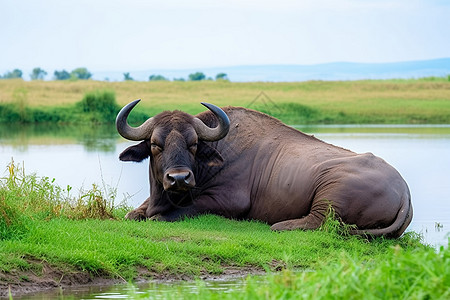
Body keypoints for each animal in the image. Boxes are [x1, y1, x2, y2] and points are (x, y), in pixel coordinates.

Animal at [116, 99, 412, 238]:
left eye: (194, 144)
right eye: (156, 144)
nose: (179, 178)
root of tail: (404, 191)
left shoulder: (227, 202)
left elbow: (167, 215)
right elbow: (134, 214)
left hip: (330, 193)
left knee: (317, 222)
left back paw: (281, 225)